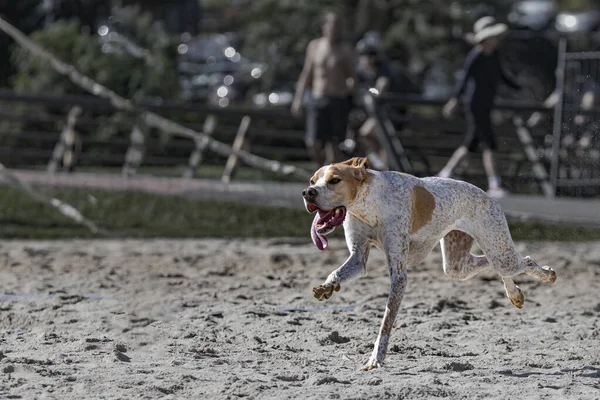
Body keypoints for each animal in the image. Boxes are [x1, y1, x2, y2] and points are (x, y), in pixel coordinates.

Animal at [302, 158, 556, 370]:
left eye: (334, 180)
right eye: (313, 180)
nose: (307, 192)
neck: (371, 204)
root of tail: (488, 196)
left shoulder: (399, 275)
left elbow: (385, 324)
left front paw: (376, 358)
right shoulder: (358, 258)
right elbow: (337, 273)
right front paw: (327, 288)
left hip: (500, 252)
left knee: (523, 261)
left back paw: (547, 274)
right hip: (457, 265)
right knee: (492, 265)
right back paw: (515, 293)